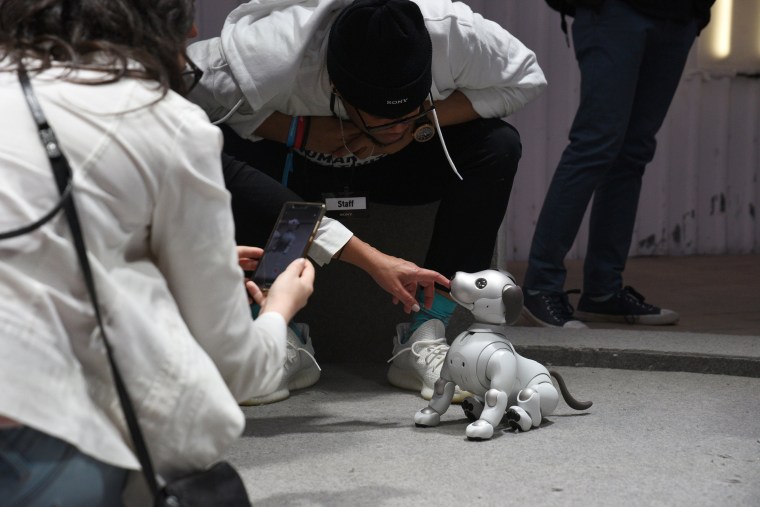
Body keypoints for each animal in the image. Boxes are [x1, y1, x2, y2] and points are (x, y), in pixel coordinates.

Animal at [412, 270, 592, 440]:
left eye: (481, 283)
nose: (453, 276)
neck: (479, 332)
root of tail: (547, 371)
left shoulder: (502, 358)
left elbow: (495, 394)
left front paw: (482, 427)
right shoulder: (448, 369)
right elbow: (442, 386)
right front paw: (428, 414)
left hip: (544, 390)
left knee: (530, 400)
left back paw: (518, 418)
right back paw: (472, 406)